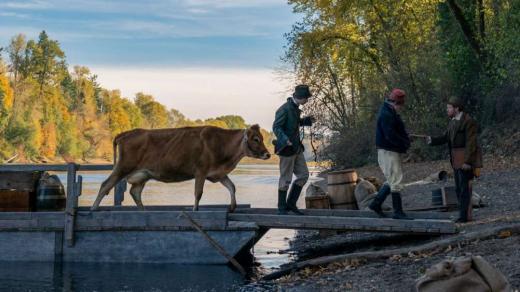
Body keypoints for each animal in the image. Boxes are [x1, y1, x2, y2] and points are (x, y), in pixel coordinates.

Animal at [92, 124, 272, 211]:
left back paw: (144, 211)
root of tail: (126, 133)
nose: (268, 154)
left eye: (261, 138)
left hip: (142, 175)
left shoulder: (218, 173)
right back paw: (93, 209)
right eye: (256, 139)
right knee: (105, 185)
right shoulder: (201, 171)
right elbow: (198, 193)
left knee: (135, 192)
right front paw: (194, 209)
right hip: (123, 167)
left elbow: (232, 187)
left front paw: (233, 206)